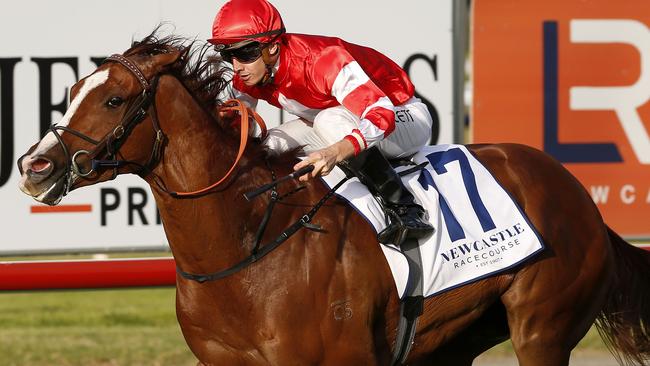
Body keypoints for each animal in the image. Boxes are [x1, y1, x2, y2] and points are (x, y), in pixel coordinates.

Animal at [16, 33, 648, 364]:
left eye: (115, 100)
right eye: (71, 90)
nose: (34, 166)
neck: (245, 246)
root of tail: (577, 194)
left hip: (542, 328)